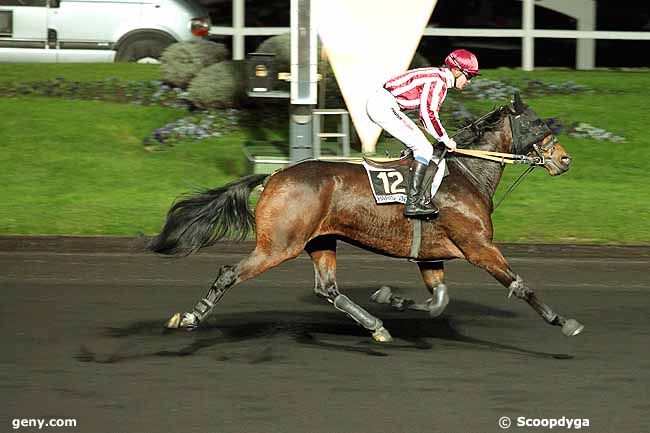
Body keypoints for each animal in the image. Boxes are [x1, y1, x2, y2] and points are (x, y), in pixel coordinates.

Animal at [148, 92, 584, 344]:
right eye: (537, 124)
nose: (564, 159)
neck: (466, 173)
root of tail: (273, 175)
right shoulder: (479, 247)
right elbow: (520, 285)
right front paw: (563, 321)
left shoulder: (431, 254)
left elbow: (438, 300)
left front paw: (392, 298)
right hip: (279, 245)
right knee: (229, 273)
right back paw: (189, 317)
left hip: (320, 240)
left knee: (328, 289)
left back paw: (375, 325)